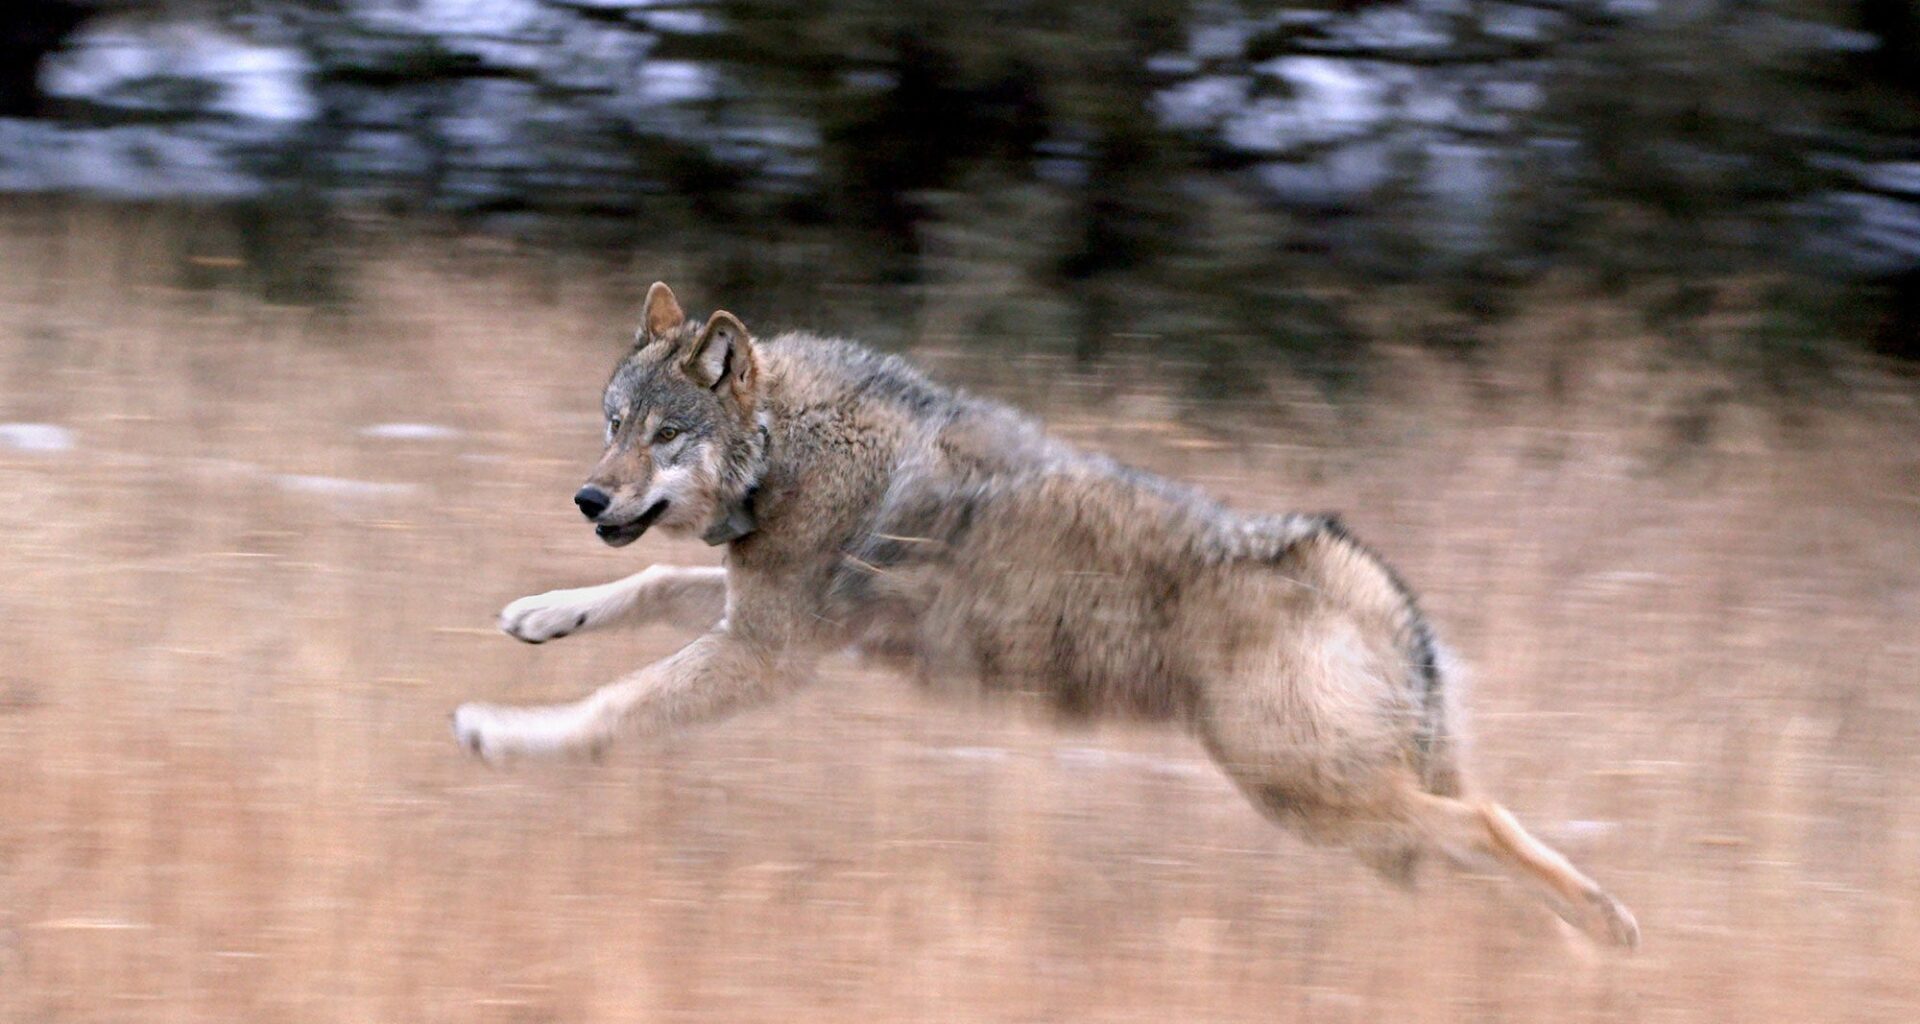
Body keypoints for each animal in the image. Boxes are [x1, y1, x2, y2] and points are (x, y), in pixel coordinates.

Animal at [452, 282, 1639, 948]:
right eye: (612, 423)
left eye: (664, 436)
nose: (588, 498)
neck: (791, 446)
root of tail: (1363, 572)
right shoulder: (760, 614)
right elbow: (644, 588)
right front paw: (540, 613)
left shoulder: (768, 652)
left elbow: (612, 708)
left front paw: (503, 735)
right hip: (1345, 814)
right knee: (1469, 843)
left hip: (1309, 794)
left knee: (1490, 825)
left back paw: (1608, 929)